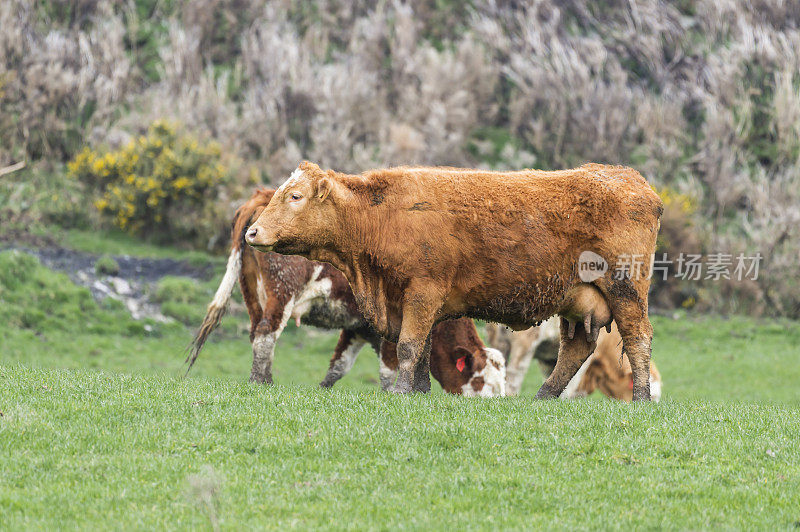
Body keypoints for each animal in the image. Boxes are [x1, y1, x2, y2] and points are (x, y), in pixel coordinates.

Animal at [184, 189, 504, 396]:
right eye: (482, 383)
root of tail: (261, 197)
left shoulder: (359, 327)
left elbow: (339, 366)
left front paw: (323, 390)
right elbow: (390, 367)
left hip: (252, 292)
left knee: (255, 333)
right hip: (282, 291)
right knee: (266, 334)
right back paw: (261, 382)